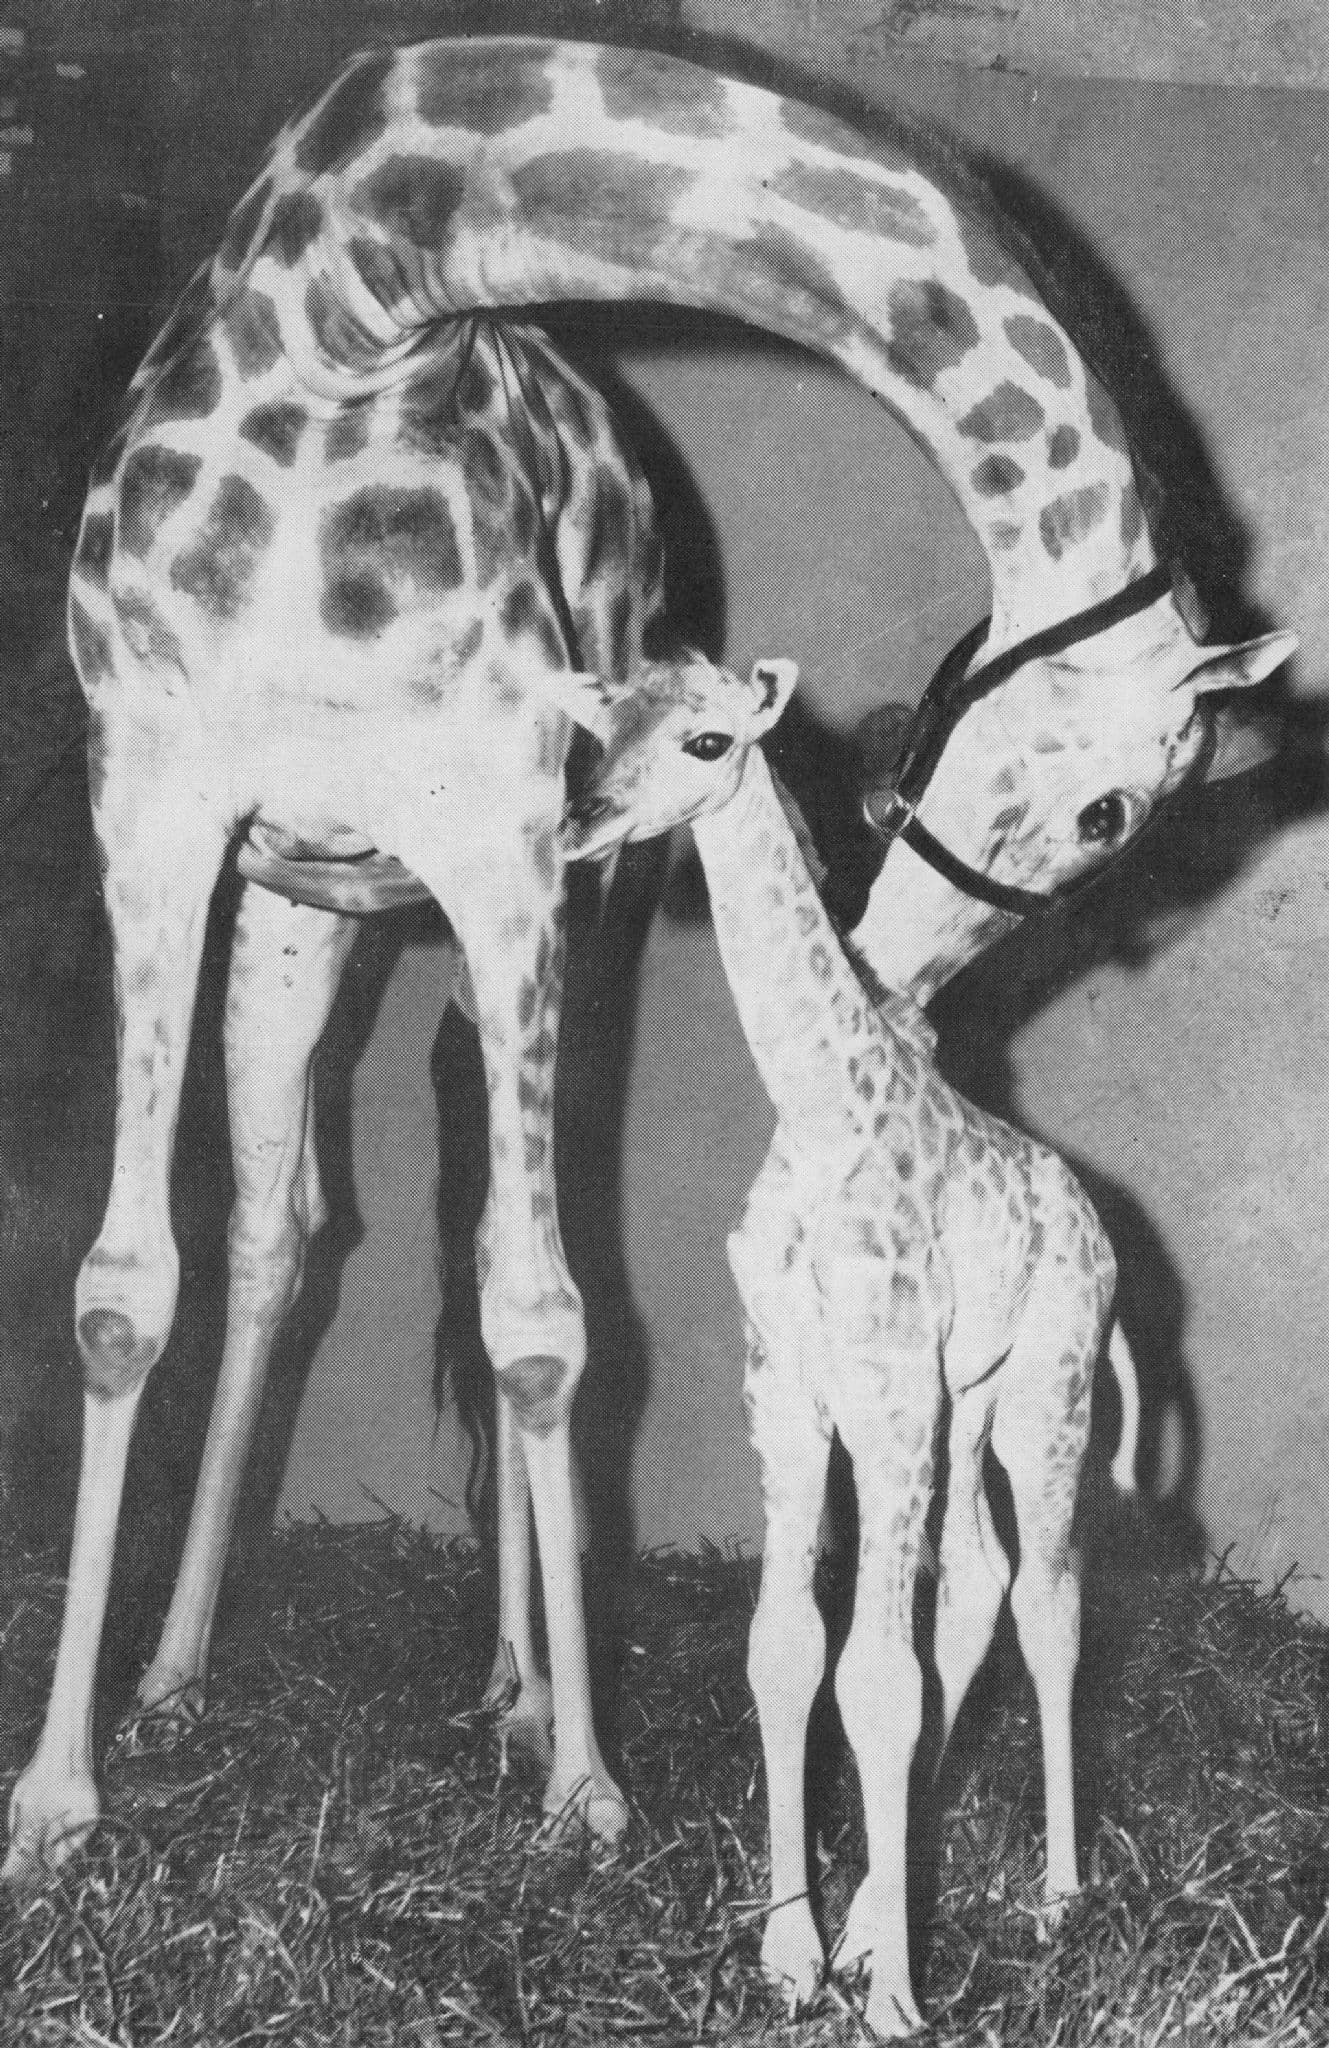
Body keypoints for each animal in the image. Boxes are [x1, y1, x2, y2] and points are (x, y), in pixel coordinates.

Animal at [4, 36, 1293, 1881]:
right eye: (1113, 814)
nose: (895, 979)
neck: (352, 307)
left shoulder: (501, 835)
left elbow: (538, 1318)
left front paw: (585, 1784)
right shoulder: (152, 797)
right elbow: (122, 1293)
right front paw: (57, 1792)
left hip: (549, 909)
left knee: (469, 1239)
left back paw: (518, 1690)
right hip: (302, 906)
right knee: (279, 1227)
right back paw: (185, 1669)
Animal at [556, 649, 1143, 2038]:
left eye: (708, 740)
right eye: (600, 726)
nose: (582, 821)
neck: (823, 1107)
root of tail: (1098, 1226)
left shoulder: (887, 1387)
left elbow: (878, 1676)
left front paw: (891, 1994)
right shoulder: (788, 1387)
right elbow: (788, 1652)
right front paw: (798, 1949)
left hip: (1048, 1392)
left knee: (1049, 1598)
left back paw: (1058, 1893)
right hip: (972, 1400)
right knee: (978, 1582)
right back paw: (893, 1887)